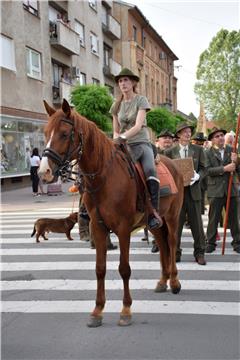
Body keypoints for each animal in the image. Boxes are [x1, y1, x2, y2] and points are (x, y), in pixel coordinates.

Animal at [39, 98, 184, 326]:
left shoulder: (123, 229)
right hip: (154, 221)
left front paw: (125, 310)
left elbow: (124, 269)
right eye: (45, 133)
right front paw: (97, 311)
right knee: (162, 244)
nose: (43, 171)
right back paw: (163, 281)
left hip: (172, 217)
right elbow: (100, 269)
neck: (104, 177)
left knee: (170, 242)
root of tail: (174, 165)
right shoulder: (98, 228)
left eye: (63, 133)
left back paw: (175, 282)